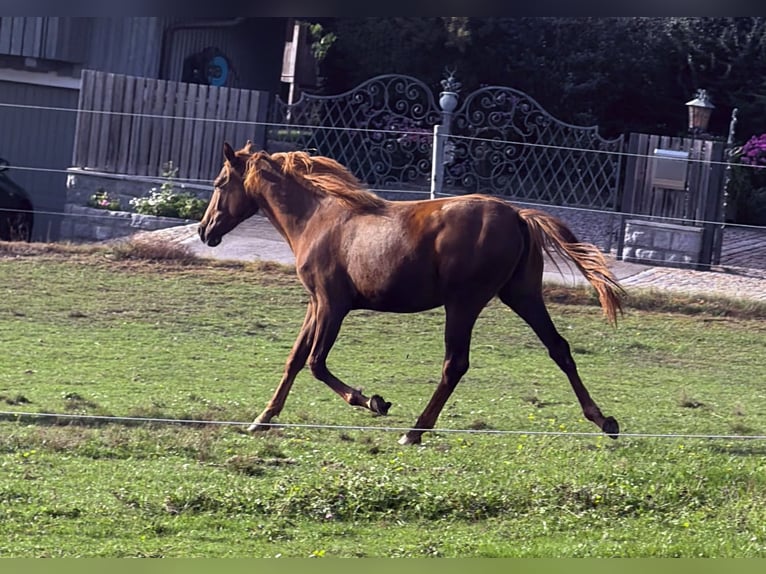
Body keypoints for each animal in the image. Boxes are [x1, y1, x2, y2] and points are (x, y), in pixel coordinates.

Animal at [198, 142, 626, 445]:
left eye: (219, 184)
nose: (205, 231)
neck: (319, 219)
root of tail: (519, 216)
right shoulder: (315, 303)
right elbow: (294, 359)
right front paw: (262, 419)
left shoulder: (334, 304)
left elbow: (316, 363)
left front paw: (374, 401)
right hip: (523, 295)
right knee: (559, 348)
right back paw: (604, 420)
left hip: (464, 303)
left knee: (455, 364)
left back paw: (415, 431)